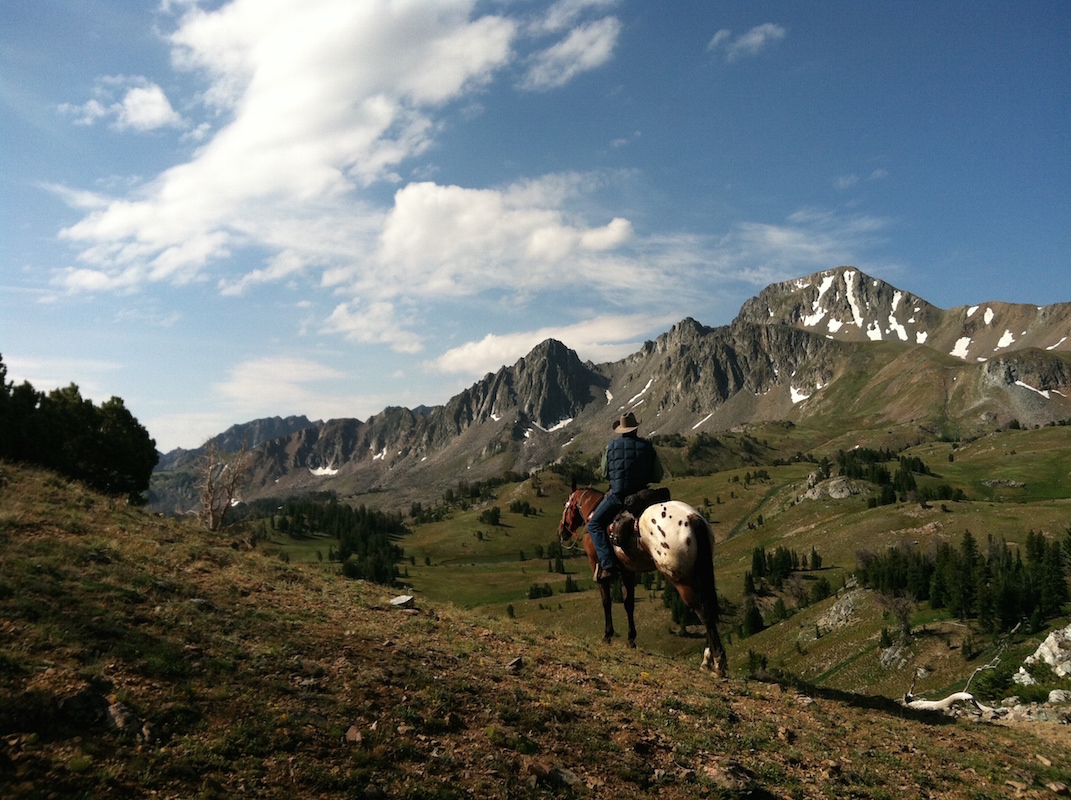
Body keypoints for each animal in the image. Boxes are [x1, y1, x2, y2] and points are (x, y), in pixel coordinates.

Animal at [561, 484, 728, 681]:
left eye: (566, 505)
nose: (561, 531)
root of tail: (693, 519)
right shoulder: (628, 572)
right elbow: (629, 604)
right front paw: (631, 639)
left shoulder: (598, 569)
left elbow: (606, 603)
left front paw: (607, 636)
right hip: (699, 575)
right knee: (709, 610)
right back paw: (708, 661)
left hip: (683, 580)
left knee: (704, 612)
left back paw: (716, 663)